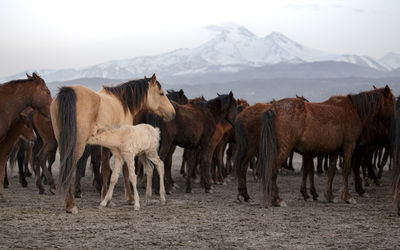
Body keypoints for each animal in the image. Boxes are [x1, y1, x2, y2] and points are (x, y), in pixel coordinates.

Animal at [50, 73, 175, 213]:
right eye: (161, 93)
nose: (173, 113)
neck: (123, 102)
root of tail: (68, 91)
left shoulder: (108, 144)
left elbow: (105, 169)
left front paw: (105, 198)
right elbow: (125, 171)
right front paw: (130, 198)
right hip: (77, 146)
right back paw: (71, 205)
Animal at [258, 86, 392, 207]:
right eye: (392, 101)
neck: (353, 110)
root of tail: (273, 108)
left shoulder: (334, 151)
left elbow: (331, 172)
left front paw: (330, 196)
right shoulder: (349, 147)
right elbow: (346, 170)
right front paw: (348, 197)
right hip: (284, 148)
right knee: (273, 169)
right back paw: (277, 200)